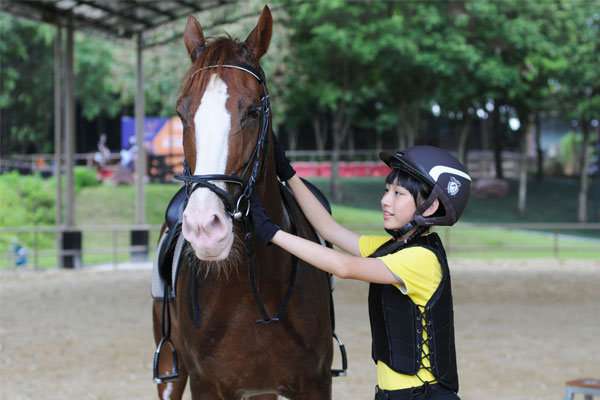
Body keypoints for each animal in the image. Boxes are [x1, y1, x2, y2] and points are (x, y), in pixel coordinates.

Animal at [150, 7, 336, 400]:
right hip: (170, 371)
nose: (204, 227)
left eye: (252, 111)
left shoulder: (315, 383)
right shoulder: (206, 385)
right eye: (181, 114)